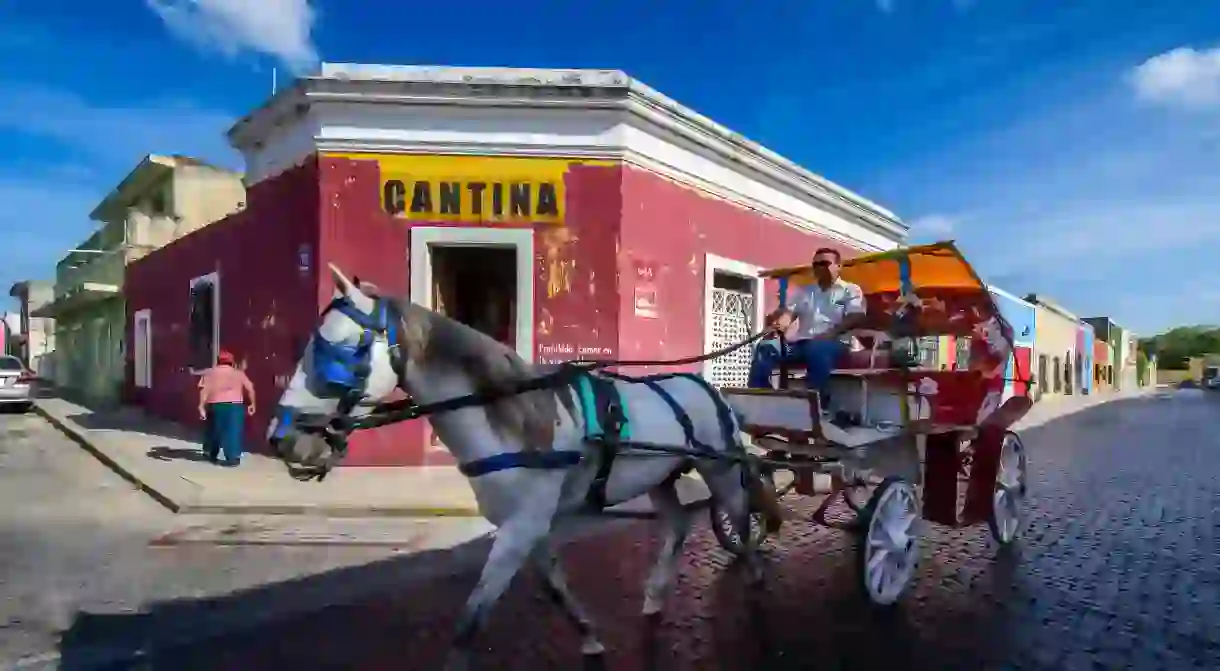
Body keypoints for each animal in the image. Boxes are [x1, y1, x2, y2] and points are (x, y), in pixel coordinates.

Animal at [267, 265, 780, 668]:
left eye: (338, 349)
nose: (282, 438)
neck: (510, 419)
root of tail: (708, 386)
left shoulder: (523, 524)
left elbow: (469, 622)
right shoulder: (528, 523)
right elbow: (553, 585)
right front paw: (589, 636)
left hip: (718, 469)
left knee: (738, 516)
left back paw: (754, 574)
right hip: (662, 475)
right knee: (675, 525)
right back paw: (655, 595)